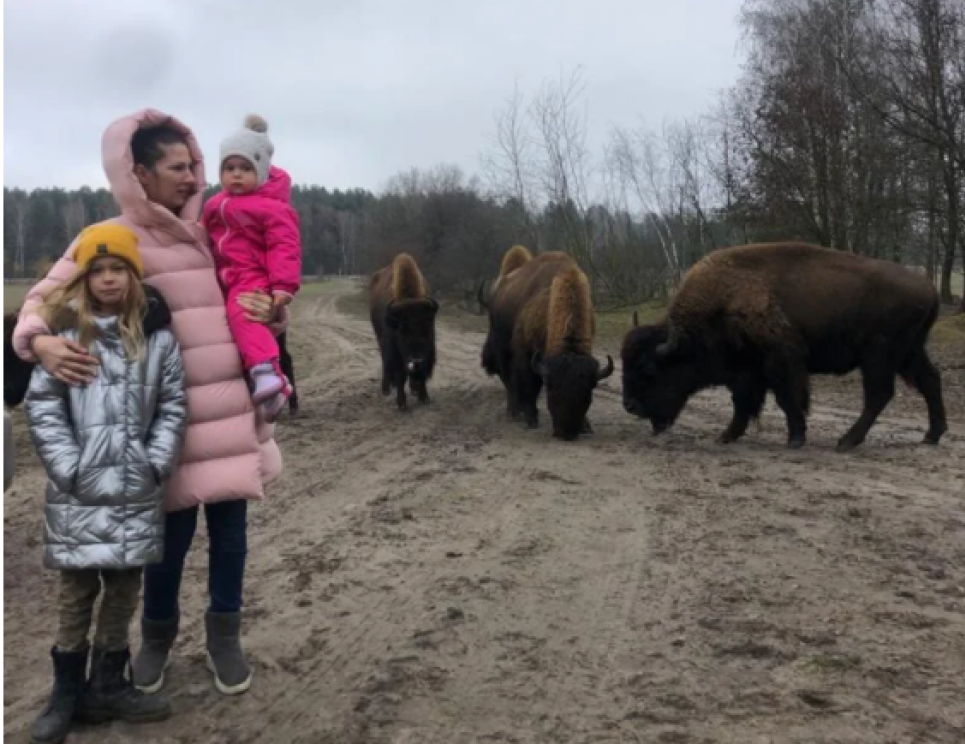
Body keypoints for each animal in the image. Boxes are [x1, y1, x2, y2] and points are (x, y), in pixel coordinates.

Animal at [368, 253, 438, 410]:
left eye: (426, 328)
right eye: (402, 331)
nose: (416, 361)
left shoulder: (428, 351)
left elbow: (423, 373)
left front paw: (424, 397)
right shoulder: (395, 351)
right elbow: (400, 376)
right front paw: (402, 404)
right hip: (379, 338)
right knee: (385, 362)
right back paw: (386, 388)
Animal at [480, 247, 612, 438]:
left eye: (587, 396)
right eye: (552, 392)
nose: (566, 433)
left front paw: (586, 426)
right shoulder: (526, 354)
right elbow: (530, 385)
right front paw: (531, 419)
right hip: (502, 348)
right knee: (508, 380)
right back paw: (513, 413)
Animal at [620, 244, 944, 454]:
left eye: (648, 369)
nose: (630, 406)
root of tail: (929, 287)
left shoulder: (779, 362)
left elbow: (786, 399)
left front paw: (795, 439)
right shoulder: (747, 372)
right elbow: (743, 403)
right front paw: (727, 436)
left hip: (879, 355)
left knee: (879, 394)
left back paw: (847, 441)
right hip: (910, 352)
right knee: (930, 381)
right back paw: (932, 435)